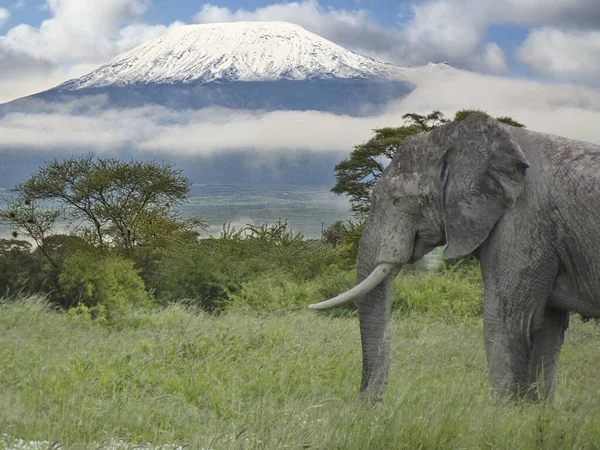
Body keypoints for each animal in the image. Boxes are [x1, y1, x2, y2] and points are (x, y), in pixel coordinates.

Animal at [310, 114, 600, 402]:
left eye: (398, 200)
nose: (368, 404)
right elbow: (547, 330)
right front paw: (534, 413)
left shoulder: (523, 223)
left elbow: (509, 322)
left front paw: (507, 414)